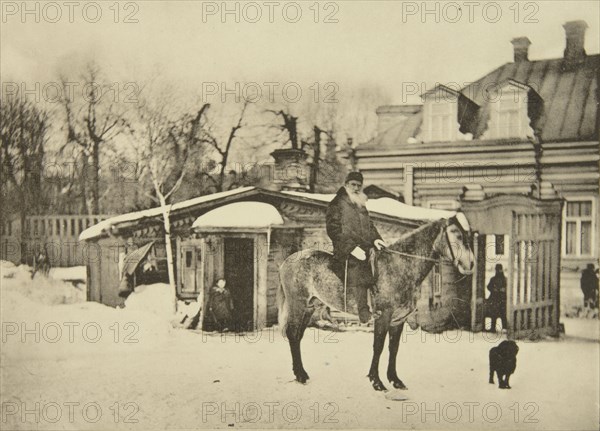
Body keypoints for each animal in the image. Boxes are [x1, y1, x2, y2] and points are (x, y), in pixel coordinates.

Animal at [276, 218, 474, 390]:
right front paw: (376, 382)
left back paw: (301, 373)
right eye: (457, 235)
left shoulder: (398, 320)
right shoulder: (383, 316)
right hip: (298, 305)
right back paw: (300, 375)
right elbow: (378, 347)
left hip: (309, 307)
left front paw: (395, 380)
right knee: (293, 334)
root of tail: (288, 261)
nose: (470, 264)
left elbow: (393, 348)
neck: (399, 266)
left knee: (298, 336)